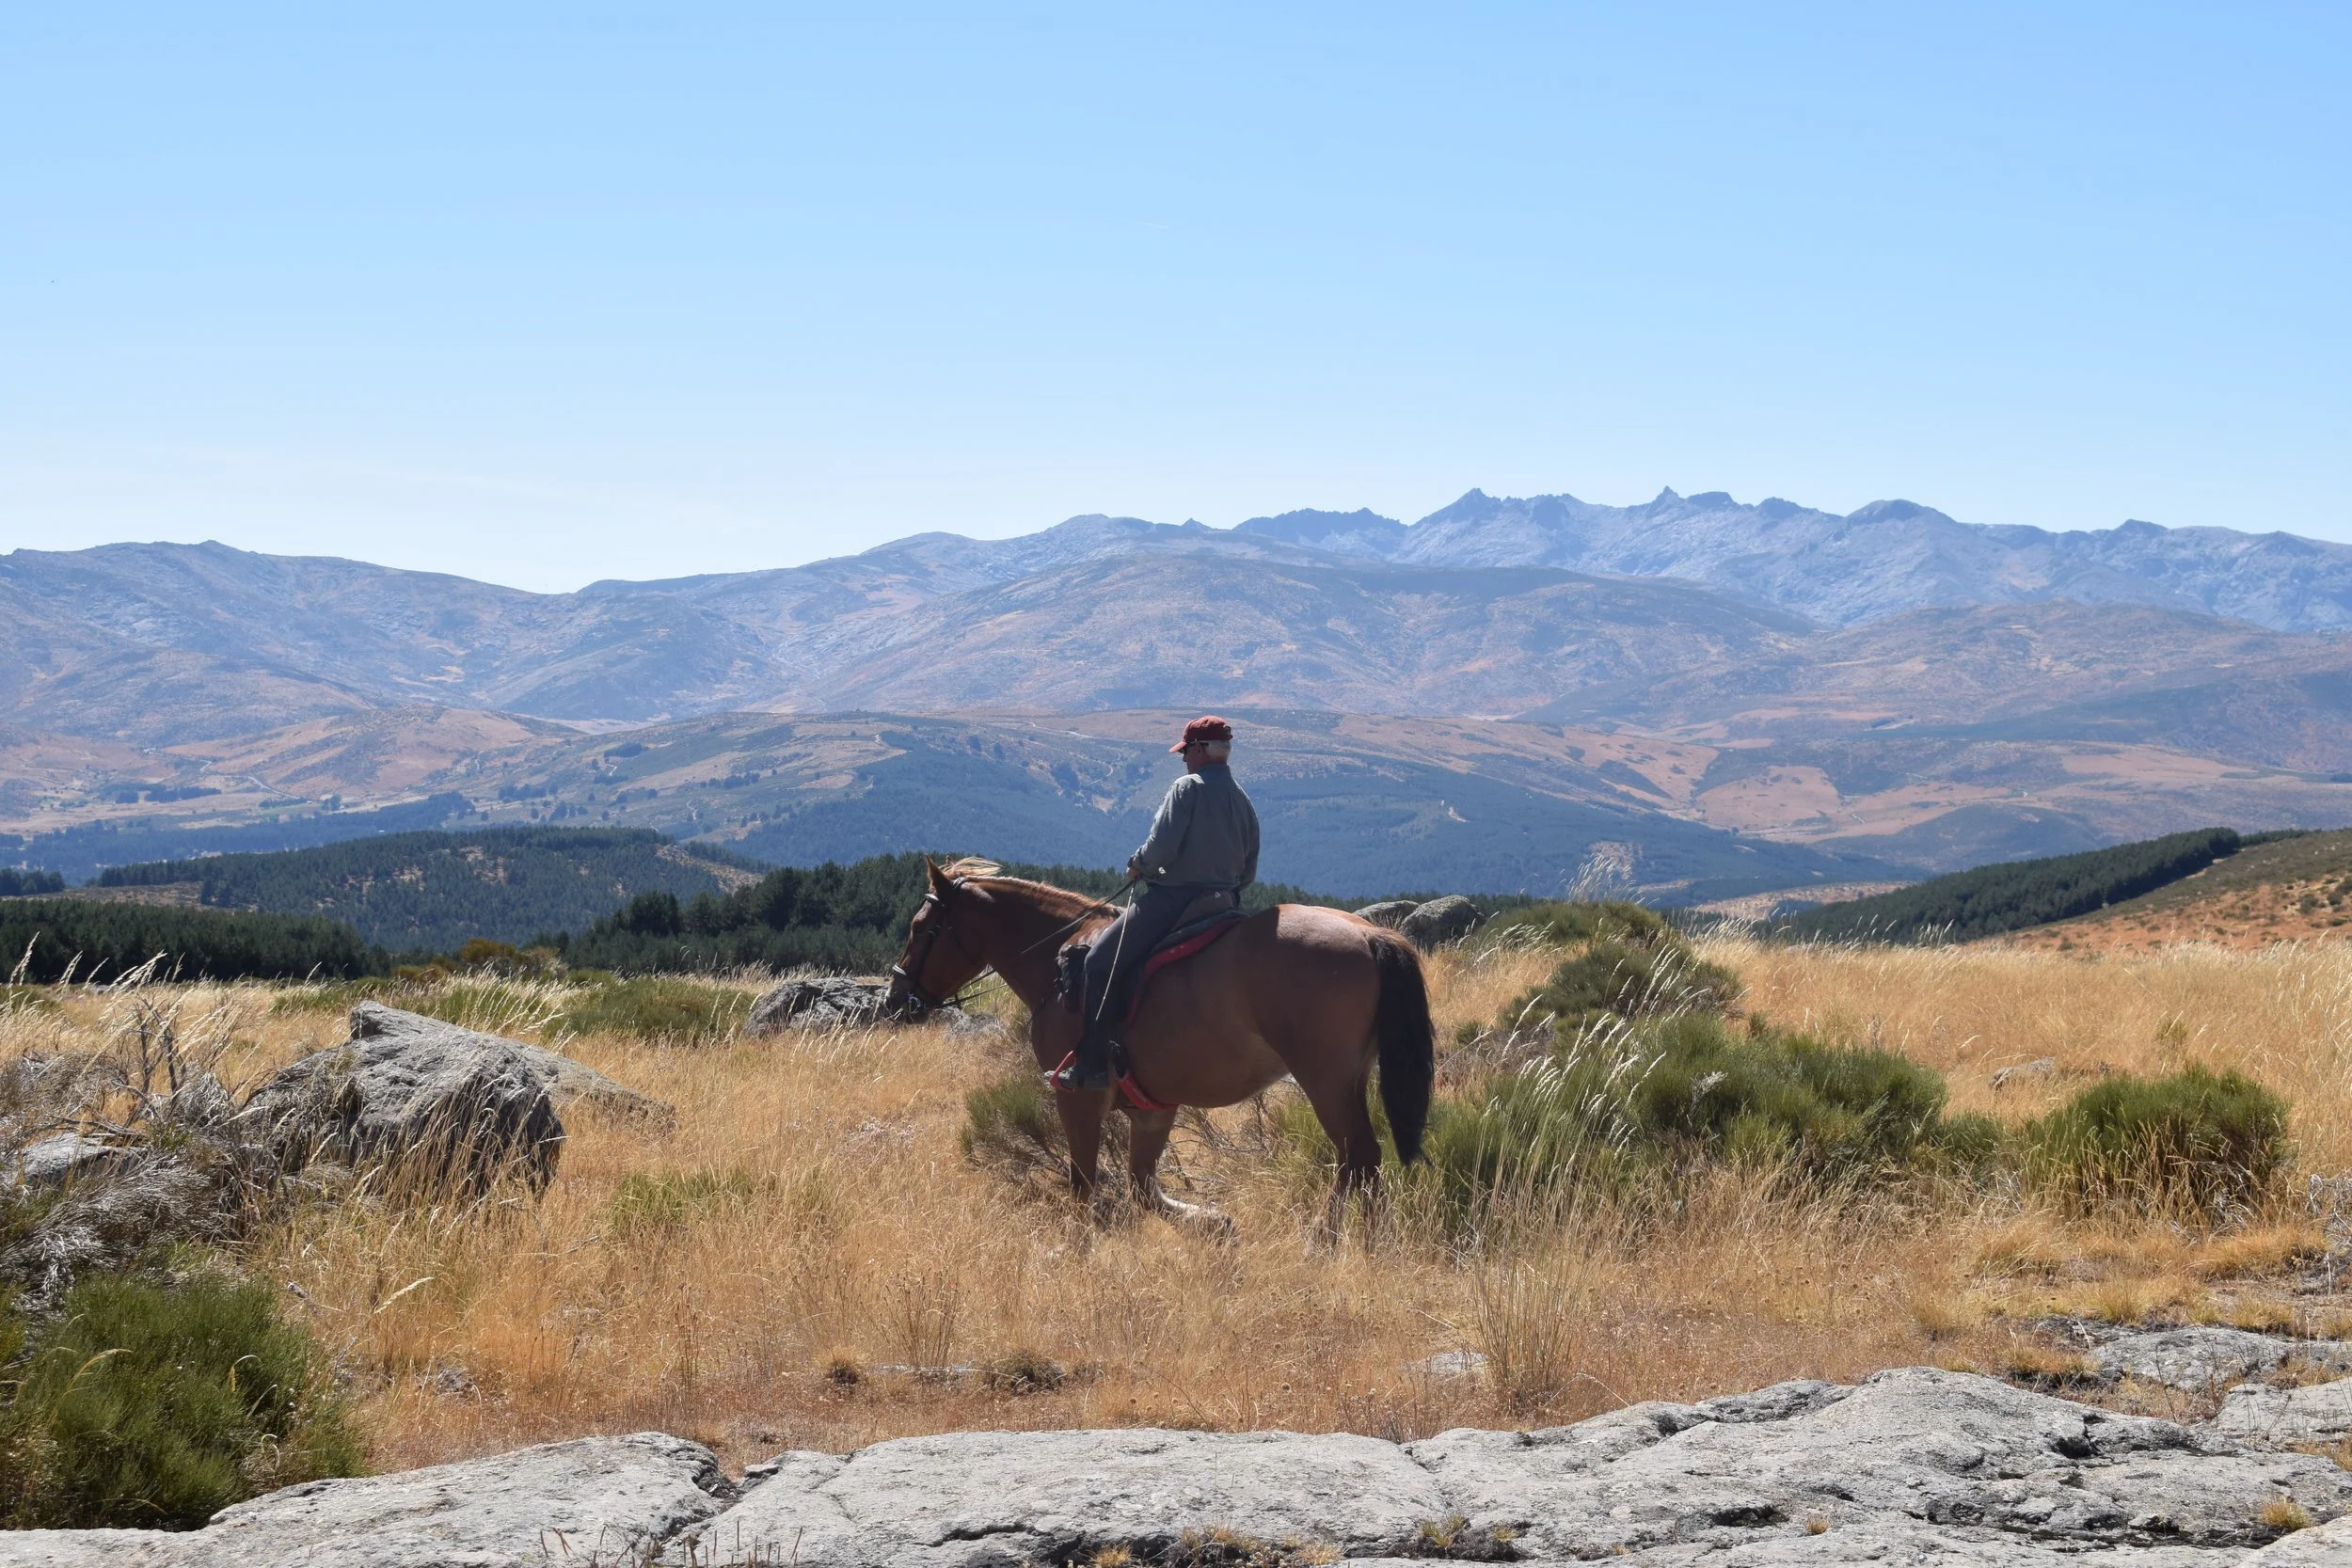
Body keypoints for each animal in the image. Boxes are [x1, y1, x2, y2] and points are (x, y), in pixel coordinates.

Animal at [882, 857, 1434, 1236]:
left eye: (920, 929)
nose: (895, 1000)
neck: (1058, 963)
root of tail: (1371, 935)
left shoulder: (1077, 1097)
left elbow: (1083, 1183)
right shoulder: (1153, 1108)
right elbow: (1144, 1189)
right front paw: (1212, 1223)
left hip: (1325, 1080)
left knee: (1358, 1156)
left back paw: (1329, 1241)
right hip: (1350, 1078)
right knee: (1360, 1162)